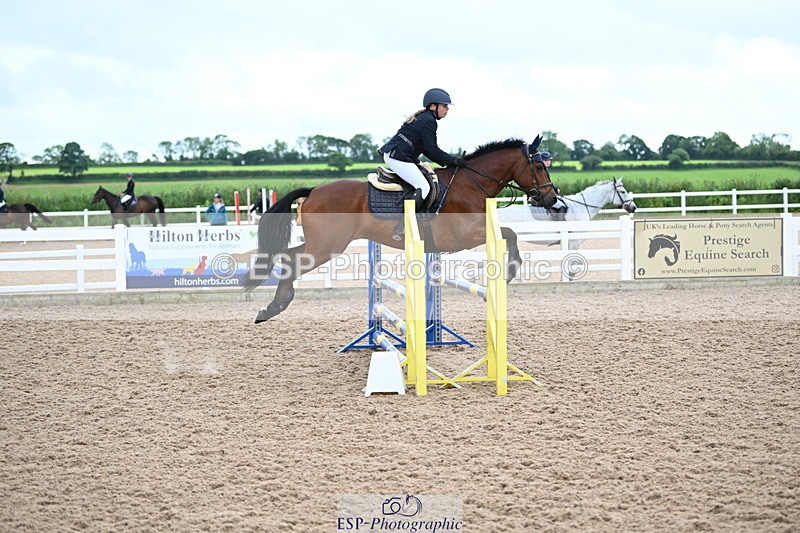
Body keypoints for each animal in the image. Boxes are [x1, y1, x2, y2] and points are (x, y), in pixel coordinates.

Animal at [243, 136, 558, 324]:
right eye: (539, 168)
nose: (551, 199)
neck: (471, 183)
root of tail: (314, 190)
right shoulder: (464, 235)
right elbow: (510, 233)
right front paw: (511, 271)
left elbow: (510, 232)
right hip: (326, 247)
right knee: (294, 261)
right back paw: (273, 308)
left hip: (319, 244)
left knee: (287, 256)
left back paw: (274, 305)